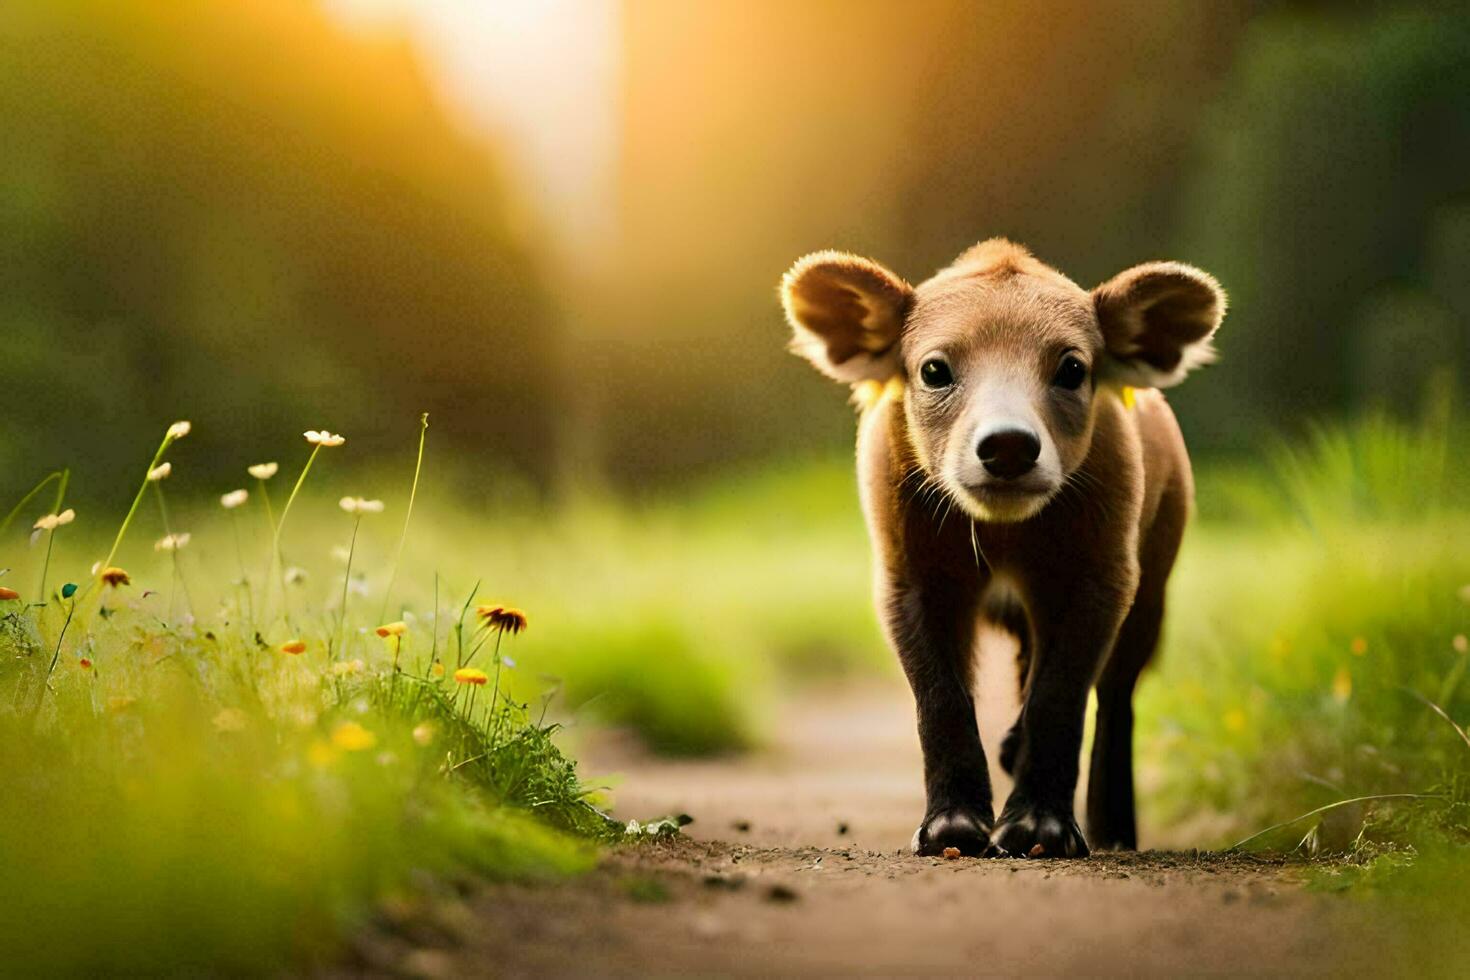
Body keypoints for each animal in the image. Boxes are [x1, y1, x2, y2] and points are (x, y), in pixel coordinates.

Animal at [782, 239, 1228, 858]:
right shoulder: (908, 573)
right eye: (934, 369)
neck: (1004, 537)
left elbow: (1061, 693)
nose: (1010, 443)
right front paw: (950, 830)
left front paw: (1040, 832)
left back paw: (1115, 832)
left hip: (1156, 576)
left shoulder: (1105, 571)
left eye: (1072, 368)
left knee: (1117, 696)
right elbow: (941, 697)